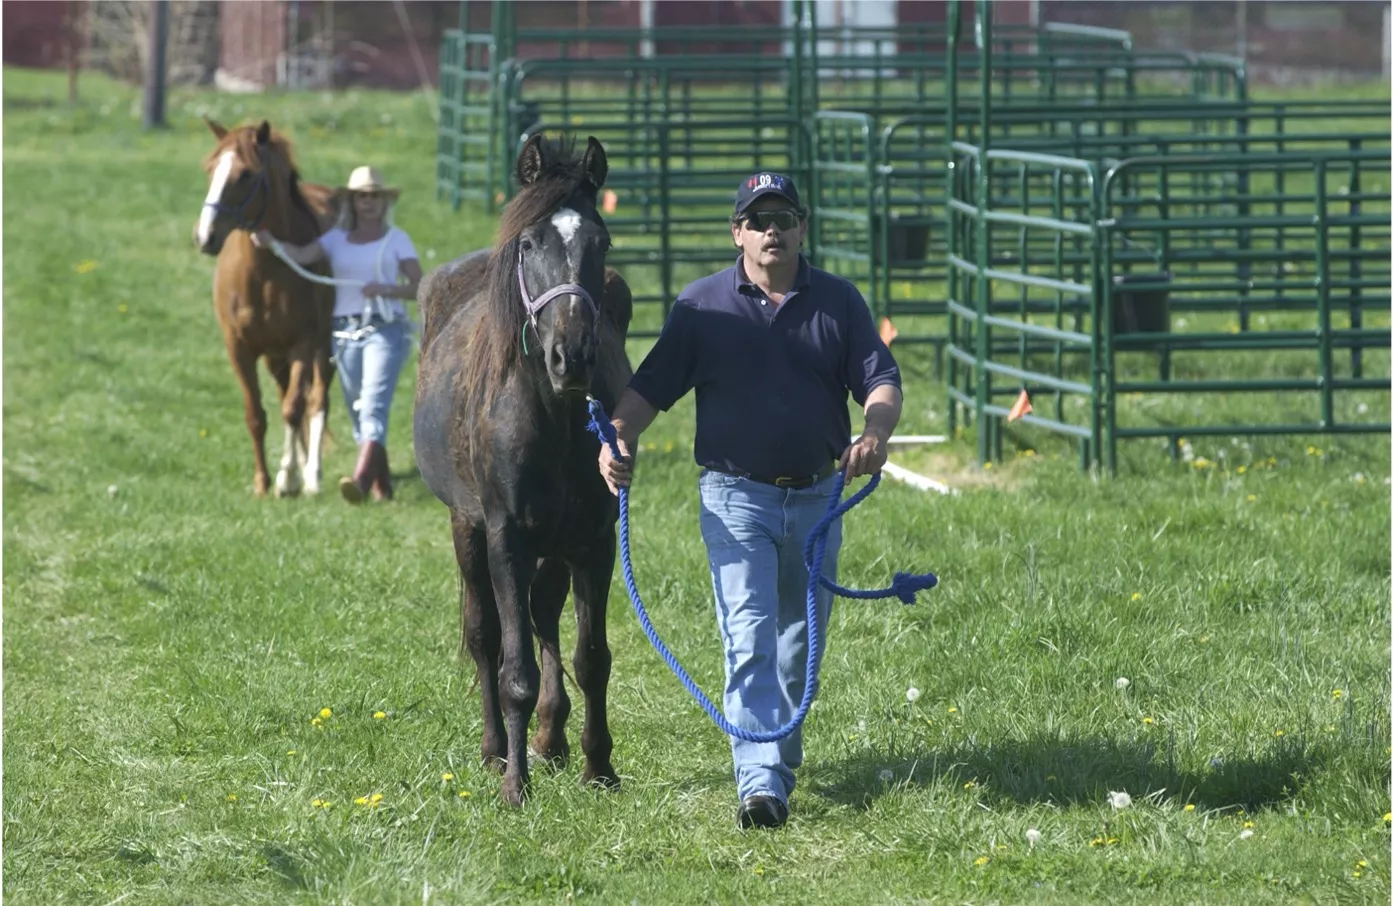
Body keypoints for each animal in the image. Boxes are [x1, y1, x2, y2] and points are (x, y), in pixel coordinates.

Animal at [195, 118, 338, 498]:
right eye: (211, 169)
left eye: (245, 174)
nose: (205, 237)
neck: (263, 273)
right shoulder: (239, 349)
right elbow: (256, 414)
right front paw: (262, 481)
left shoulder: (303, 344)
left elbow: (293, 409)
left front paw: (286, 478)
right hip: (276, 357)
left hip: (323, 345)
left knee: (316, 400)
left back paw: (311, 475)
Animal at [413, 133, 633, 806]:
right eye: (530, 244)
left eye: (601, 242)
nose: (572, 357)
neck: (554, 416)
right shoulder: (506, 539)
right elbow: (513, 666)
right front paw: (515, 784)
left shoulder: (593, 543)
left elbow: (592, 657)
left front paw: (599, 767)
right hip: (467, 528)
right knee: (487, 635)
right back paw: (496, 749)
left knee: (544, 618)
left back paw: (552, 738)